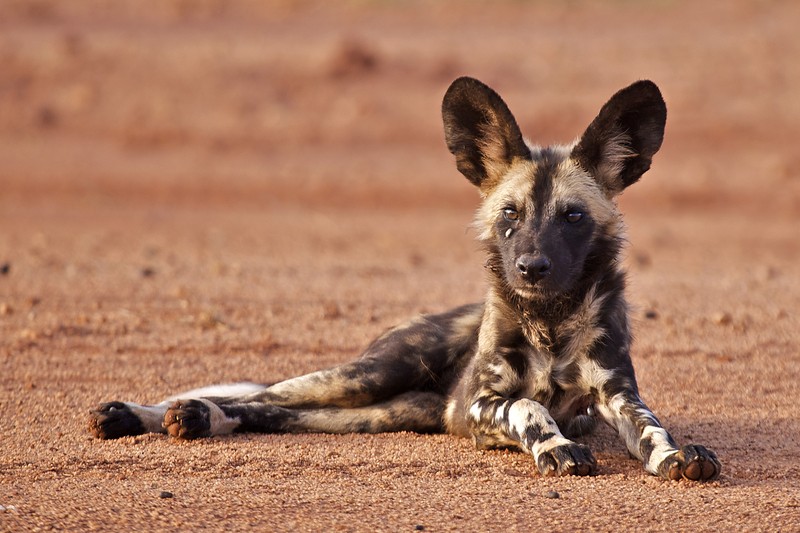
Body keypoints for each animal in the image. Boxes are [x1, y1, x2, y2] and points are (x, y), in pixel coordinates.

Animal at [90, 77, 720, 480]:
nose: (531, 267)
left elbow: (652, 430)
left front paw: (675, 457)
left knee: (267, 412)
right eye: (510, 214)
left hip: (386, 412)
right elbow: (528, 408)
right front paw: (558, 450)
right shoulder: (478, 405)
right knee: (259, 393)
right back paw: (149, 414)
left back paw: (197, 420)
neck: (550, 322)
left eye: (572, 217)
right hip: (366, 376)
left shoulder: (617, 396)